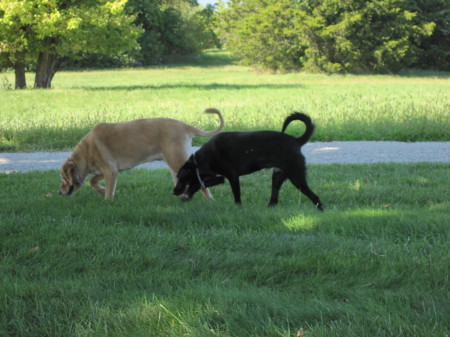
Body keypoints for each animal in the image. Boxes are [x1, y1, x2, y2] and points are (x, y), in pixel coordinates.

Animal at [59, 107, 224, 198]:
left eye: (63, 178)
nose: (59, 193)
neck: (86, 151)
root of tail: (185, 125)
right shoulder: (110, 170)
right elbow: (93, 181)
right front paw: (101, 190)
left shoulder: (110, 170)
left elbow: (107, 192)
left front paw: (107, 199)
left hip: (176, 159)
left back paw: (209, 200)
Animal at [172, 111, 324, 209]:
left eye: (180, 177)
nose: (174, 192)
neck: (198, 162)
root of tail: (296, 141)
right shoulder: (219, 177)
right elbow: (201, 184)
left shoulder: (232, 176)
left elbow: (237, 196)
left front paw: (238, 208)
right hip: (277, 176)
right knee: (274, 199)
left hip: (296, 177)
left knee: (315, 197)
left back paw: (321, 210)